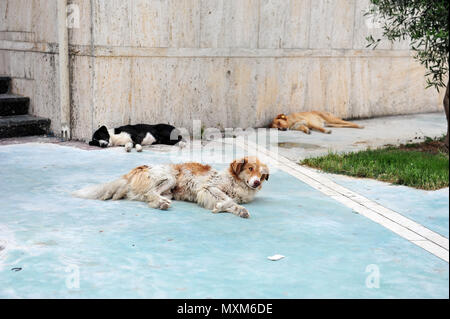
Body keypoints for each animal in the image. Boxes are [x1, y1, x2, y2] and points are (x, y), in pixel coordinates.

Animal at [72, 158, 268, 220]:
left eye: (262, 174)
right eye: (250, 168)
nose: (256, 183)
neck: (237, 183)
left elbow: (232, 202)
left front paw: (239, 210)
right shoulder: (207, 187)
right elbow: (227, 199)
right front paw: (221, 206)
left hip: (168, 189)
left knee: (146, 197)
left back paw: (161, 202)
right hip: (170, 176)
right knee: (150, 194)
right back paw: (162, 204)